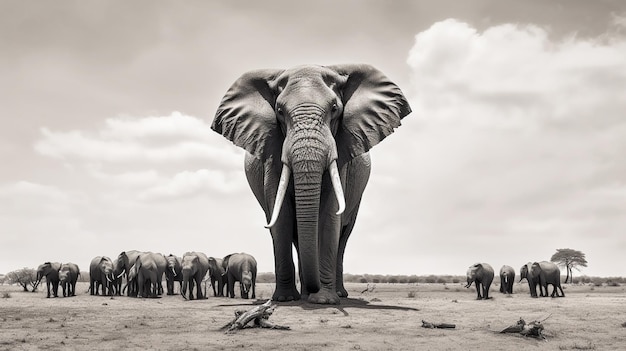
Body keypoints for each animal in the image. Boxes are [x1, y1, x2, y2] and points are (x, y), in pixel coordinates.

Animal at [212, 64, 410, 306]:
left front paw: (324, 300)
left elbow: (329, 215)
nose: (314, 291)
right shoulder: (271, 152)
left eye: (334, 109)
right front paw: (285, 299)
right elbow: (282, 218)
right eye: (279, 111)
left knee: (343, 235)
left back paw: (336, 294)